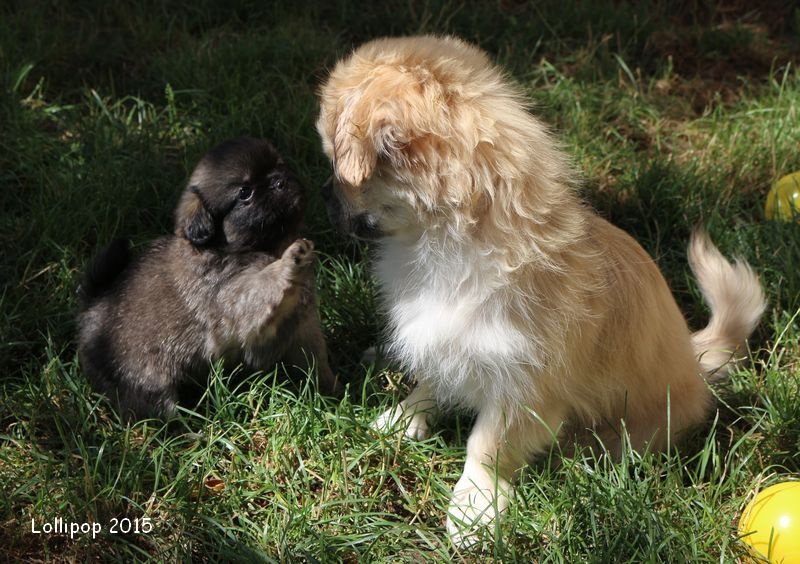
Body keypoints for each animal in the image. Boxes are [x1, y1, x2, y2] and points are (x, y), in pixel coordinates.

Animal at [80, 135, 340, 418]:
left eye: (280, 164)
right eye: (244, 193)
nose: (279, 180)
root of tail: (91, 312)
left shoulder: (302, 327)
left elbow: (315, 360)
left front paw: (331, 390)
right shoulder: (240, 299)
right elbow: (265, 284)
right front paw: (290, 260)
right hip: (149, 386)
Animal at [316, 35, 764, 548]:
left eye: (339, 168)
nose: (323, 192)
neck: (442, 242)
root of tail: (695, 362)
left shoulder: (523, 385)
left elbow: (486, 445)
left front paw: (475, 504)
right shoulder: (441, 337)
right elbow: (430, 381)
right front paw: (402, 419)